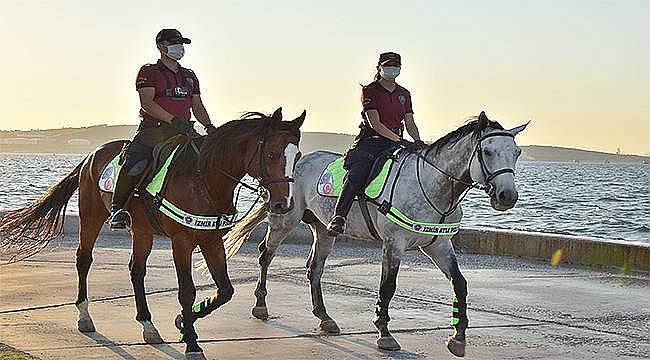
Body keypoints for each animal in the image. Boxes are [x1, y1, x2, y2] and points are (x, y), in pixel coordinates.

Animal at [0, 107, 304, 358]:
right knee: (84, 259)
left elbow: (225, 290)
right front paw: (191, 340)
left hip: (142, 230)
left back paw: (147, 324)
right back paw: (85, 317)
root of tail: (92, 155)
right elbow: (186, 291)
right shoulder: (182, 241)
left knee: (136, 270)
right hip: (91, 216)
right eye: (272, 155)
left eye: (297, 156)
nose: (283, 203)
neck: (203, 179)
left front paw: (185, 321)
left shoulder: (210, 239)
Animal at [223, 111, 528, 356]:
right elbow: (388, 286)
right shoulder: (394, 243)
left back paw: (324, 317)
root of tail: (298, 160)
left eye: (516, 153)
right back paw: (261, 305)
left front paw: (458, 338)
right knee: (266, 254)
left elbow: (460, 284)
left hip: (324, 229)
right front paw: (384, 333)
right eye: (487, 152)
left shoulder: (438, 246)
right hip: (285, 218)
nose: (507, 196)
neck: (433, 186)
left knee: (315, 268)